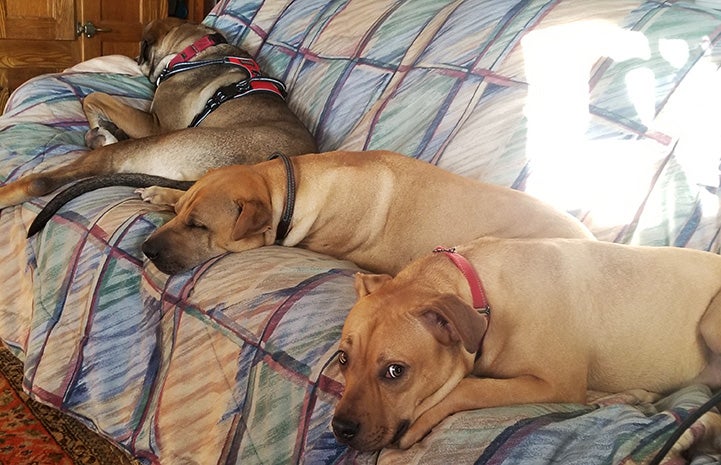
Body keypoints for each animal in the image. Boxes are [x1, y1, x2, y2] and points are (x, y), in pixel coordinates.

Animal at [330, 236, 720, 450]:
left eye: (395, 371)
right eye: (343, 359)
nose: (340, 429)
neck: (485, 295)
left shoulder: (556, 383)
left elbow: (472, 387)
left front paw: (424, 418)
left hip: (710, 324)